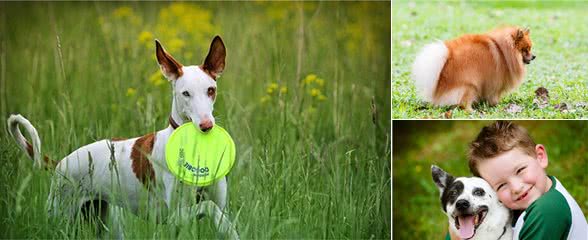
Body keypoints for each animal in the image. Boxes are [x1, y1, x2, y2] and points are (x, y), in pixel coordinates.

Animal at [6, 35, 239, 238]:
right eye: (186, 93)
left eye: (211, 90)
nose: (206, 126)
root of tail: (60, 163)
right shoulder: (173, 217)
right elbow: (210, 207)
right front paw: (227, 229)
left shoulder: (210, 205)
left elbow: (216, 210)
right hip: (61, 214)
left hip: (106, 221)